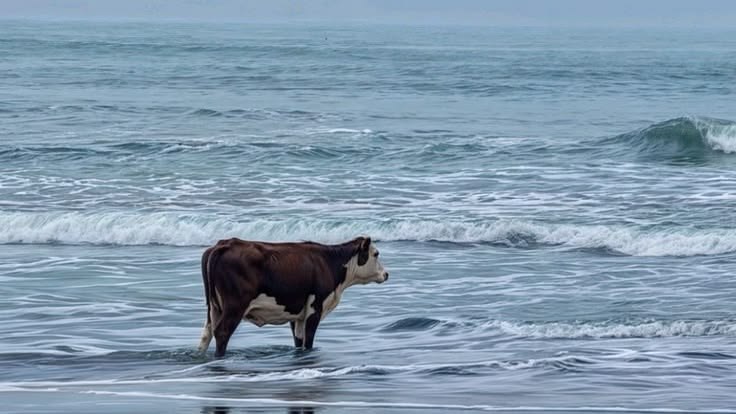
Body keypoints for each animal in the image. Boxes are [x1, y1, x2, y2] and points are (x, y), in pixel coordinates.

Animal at [198, 236, 388, 357]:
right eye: (376, 254)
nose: (386, 274)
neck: (328, 261)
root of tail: (225, 244)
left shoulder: (297, 314)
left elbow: (299, 340)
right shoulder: (315, 307)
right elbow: (308, 340)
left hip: (213, 308)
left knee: (207, 334)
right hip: (235, 305)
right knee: (222, 332)